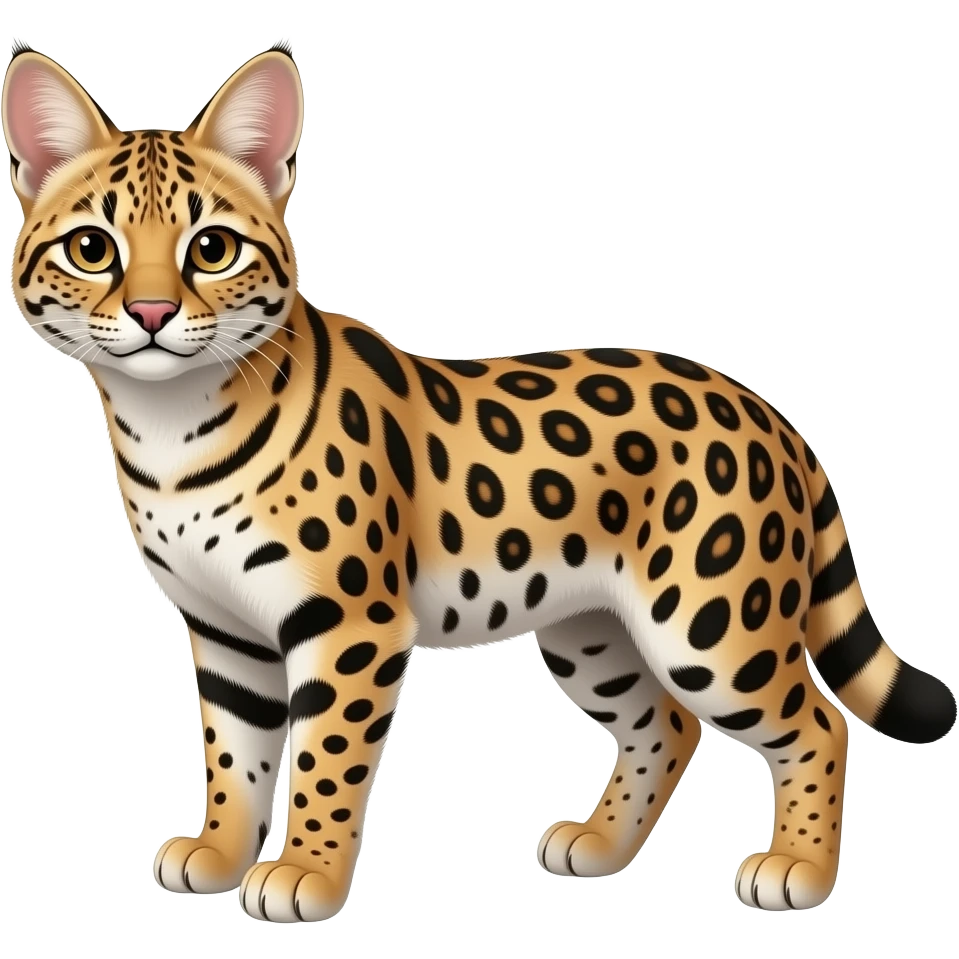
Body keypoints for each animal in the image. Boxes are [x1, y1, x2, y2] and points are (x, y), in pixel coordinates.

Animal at [4, 37, 956, 924]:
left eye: (211, 248)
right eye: (91, 248)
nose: (152, 313)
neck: (169, 426)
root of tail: (767, 410)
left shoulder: (350, 625)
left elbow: (321, 760)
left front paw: (305, 873)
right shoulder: (225, 628)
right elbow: (235, 755)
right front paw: (219, 851)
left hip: (710, 623)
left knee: (816, 723)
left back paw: (795, 867)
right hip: (589, 630)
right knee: (666, 722)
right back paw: (600, 844)